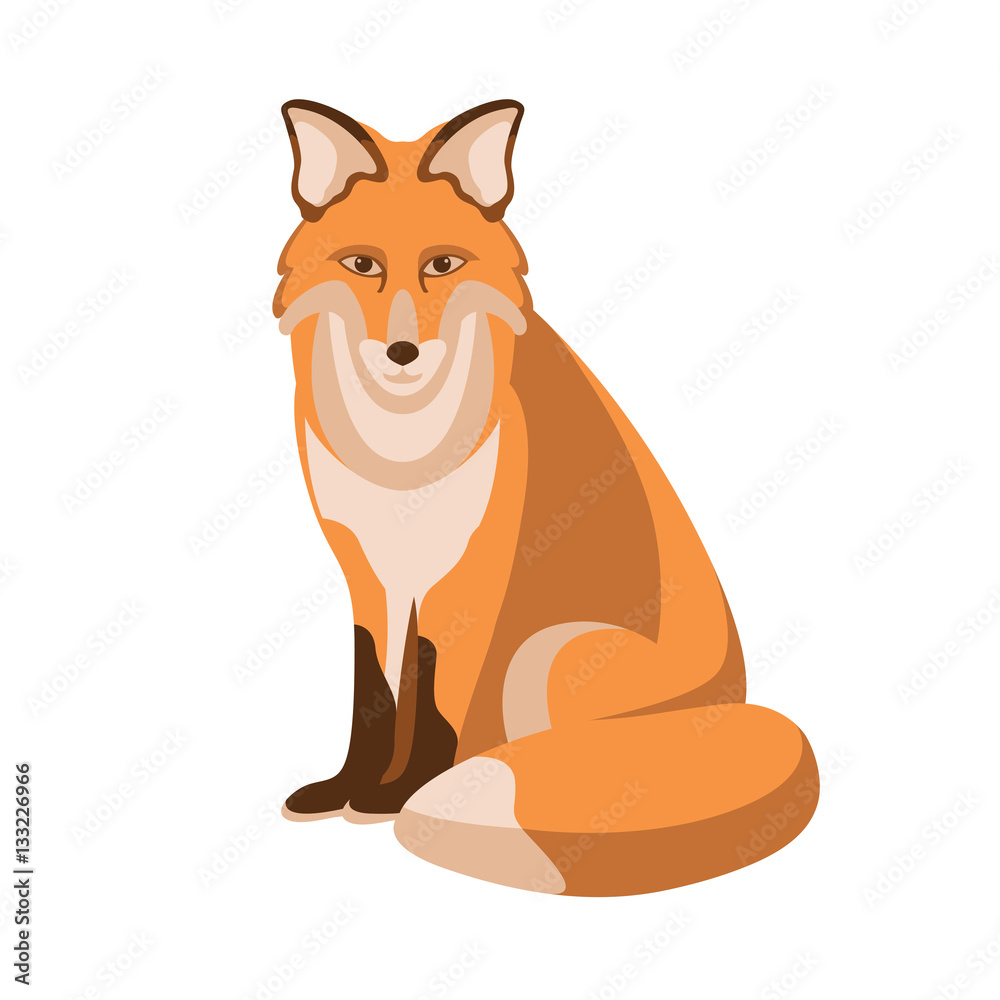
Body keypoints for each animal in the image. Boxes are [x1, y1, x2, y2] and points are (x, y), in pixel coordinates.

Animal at [273, 98, 819, 896]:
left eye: (442, 264)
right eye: (362, 265)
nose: (402, 353)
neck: (403, 455)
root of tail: (739, 706)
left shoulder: (465, 575)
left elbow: (434, 701)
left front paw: (398, 795)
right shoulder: (369, 569)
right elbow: (373, 692)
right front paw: (348, 790)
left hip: (552, 655)